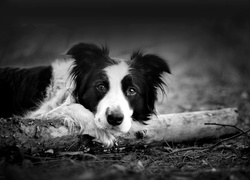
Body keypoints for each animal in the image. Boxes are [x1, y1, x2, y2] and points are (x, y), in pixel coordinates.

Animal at [0, 42, 170, 146]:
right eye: (101, 86)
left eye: (132, 90)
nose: (115, 119)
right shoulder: (35, 115)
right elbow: (73, 107)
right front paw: (101, 132)